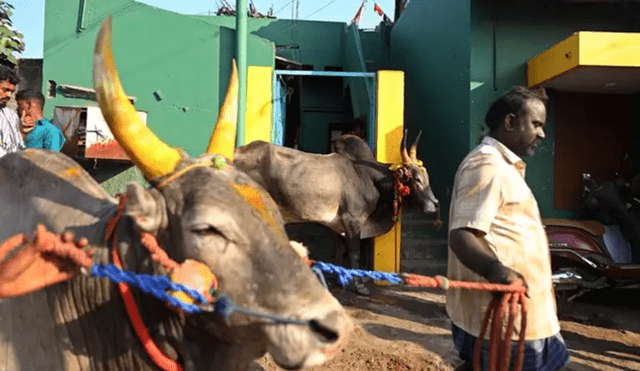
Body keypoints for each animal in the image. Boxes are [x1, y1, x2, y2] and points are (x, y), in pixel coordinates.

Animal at [234, 134, 440, 294]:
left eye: (427, 177)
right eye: (416, 179)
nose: (435, 205)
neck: (370, 179)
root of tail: (237, 152)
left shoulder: (337, 225)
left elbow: (339, 250)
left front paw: (340, 279)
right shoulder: (353, 220)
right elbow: (354, 253)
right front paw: (359, 285)